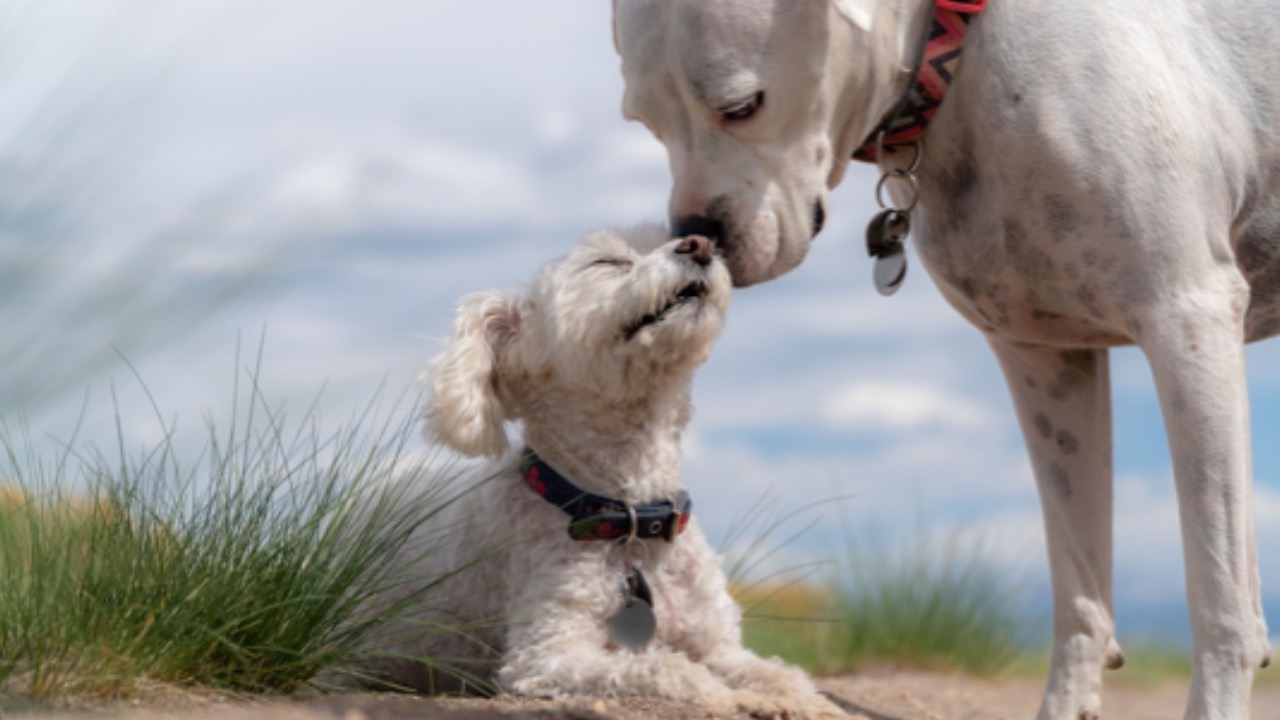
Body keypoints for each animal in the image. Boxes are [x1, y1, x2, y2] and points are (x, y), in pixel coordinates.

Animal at [373, 221, 839, 712]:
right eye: (608, 262)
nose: (700, 244)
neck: (630, 516)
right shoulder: (548, 654)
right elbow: (668, 668)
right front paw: (729, 698)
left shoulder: (719, 644)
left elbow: (779, 673)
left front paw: (805, 702)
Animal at [609, 1, 1280, 717]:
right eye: (646, 122)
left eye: (742, 106)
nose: (695, 237)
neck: (957, 54)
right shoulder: (1046, 361)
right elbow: (1079, 585)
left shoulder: (1187, 320)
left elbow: (1218, 592)